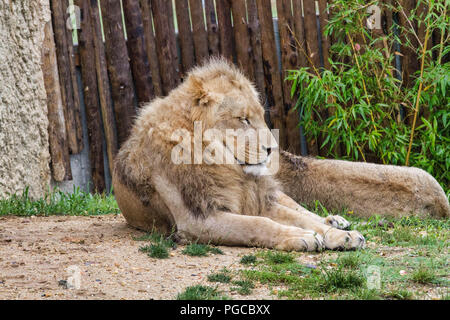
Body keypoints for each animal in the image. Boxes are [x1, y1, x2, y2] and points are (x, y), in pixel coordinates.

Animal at [110, 58, 448, 251]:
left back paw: (339, 224)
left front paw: (336, 236)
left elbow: (300, 218)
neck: (228, 169)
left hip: (273, 192)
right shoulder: (197, 221)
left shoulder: (260, 199)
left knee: (304, 209)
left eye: (260, 116)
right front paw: (300, 238)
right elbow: (258, 225)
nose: (272, 148)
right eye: (243, 119)